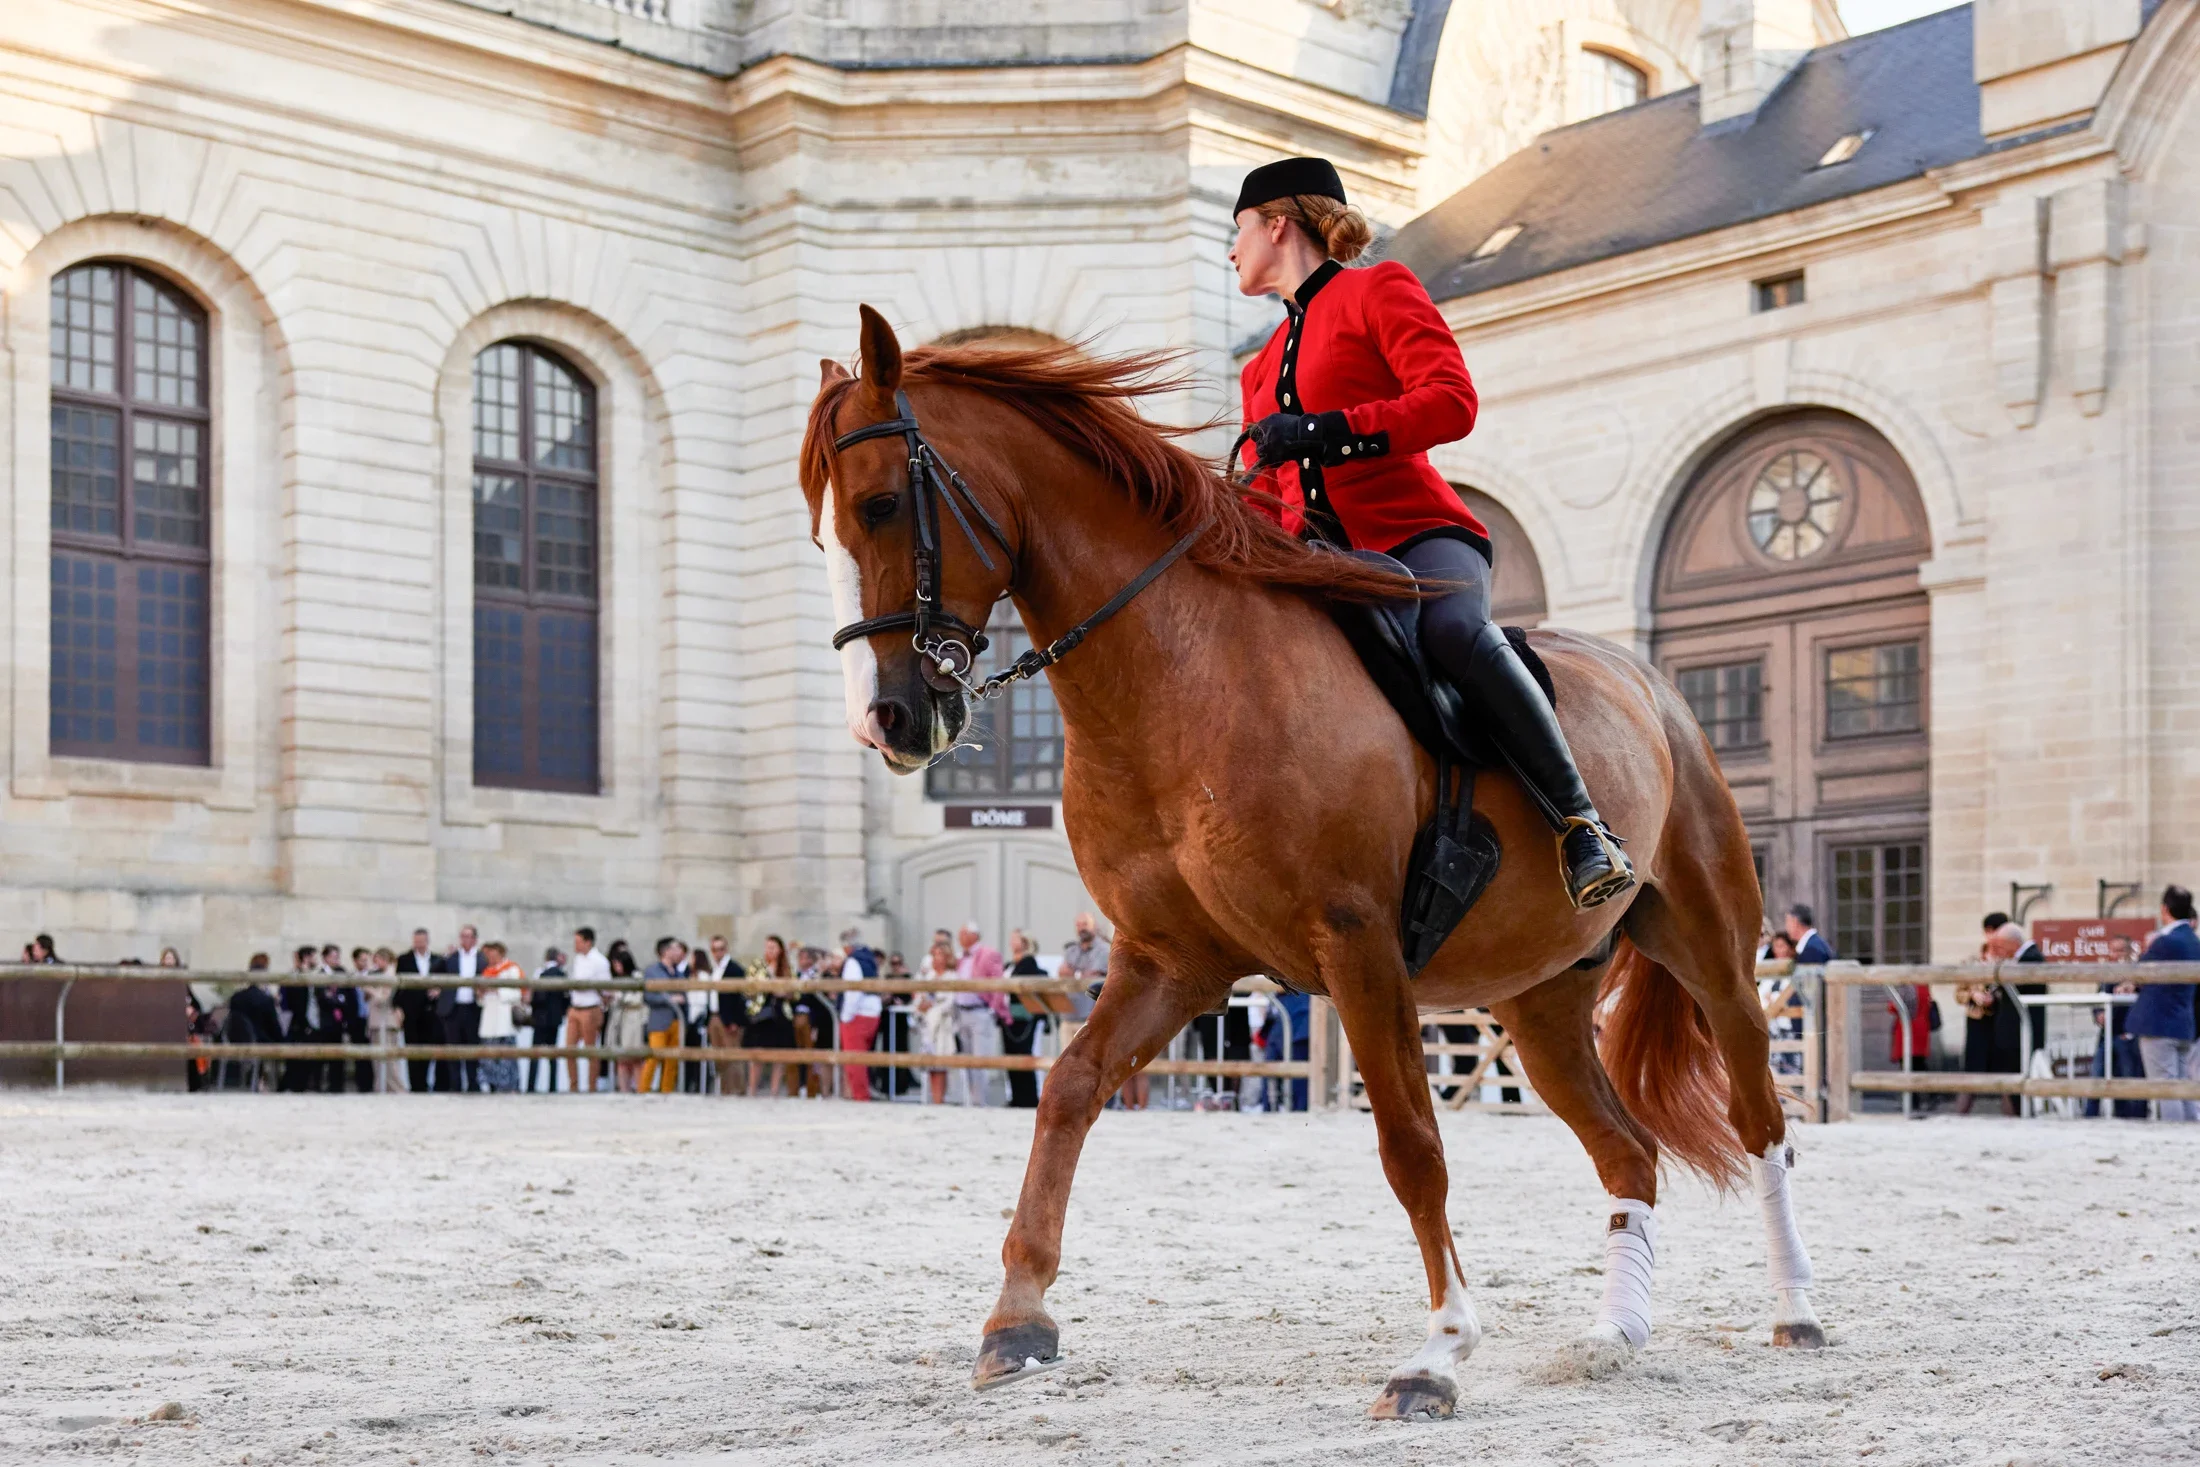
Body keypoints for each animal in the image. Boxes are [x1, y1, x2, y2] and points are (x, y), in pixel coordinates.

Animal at [799, 306, 1825, 1419]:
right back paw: (1616, 1331)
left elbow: (1411, 1144)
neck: (1184, 674)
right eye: (820, 528)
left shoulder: (1357, 948)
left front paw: (1438, 1351)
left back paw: (1794, 1308)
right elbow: (1068, 1089)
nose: (885, 720)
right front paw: (1018, 1320)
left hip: (1713, 954)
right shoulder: (1170, 960)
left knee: (1761, 1121)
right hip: (1542, 1003)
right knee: (1627, 1153)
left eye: (881, 505)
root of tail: (1652, 686)